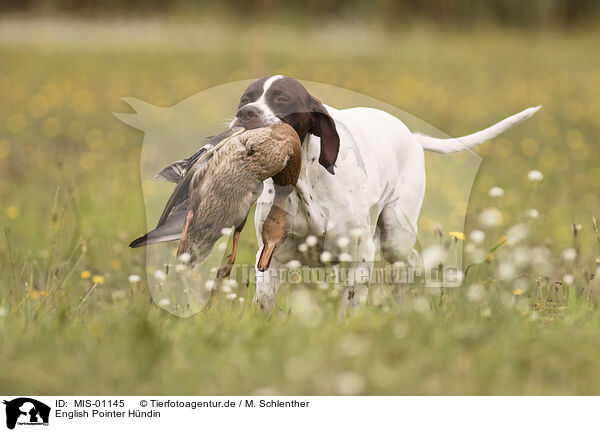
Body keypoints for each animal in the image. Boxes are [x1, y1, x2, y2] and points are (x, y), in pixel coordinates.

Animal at [230, 75, 540, 310]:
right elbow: (264, 300)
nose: (245, 113)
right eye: (245, 99)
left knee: (408, 262)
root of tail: (414, 138)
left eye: (282, 99)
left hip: (395, 234)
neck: (305, 183)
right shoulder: (271, 256)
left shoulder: (360, 254)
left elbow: (350, 308)